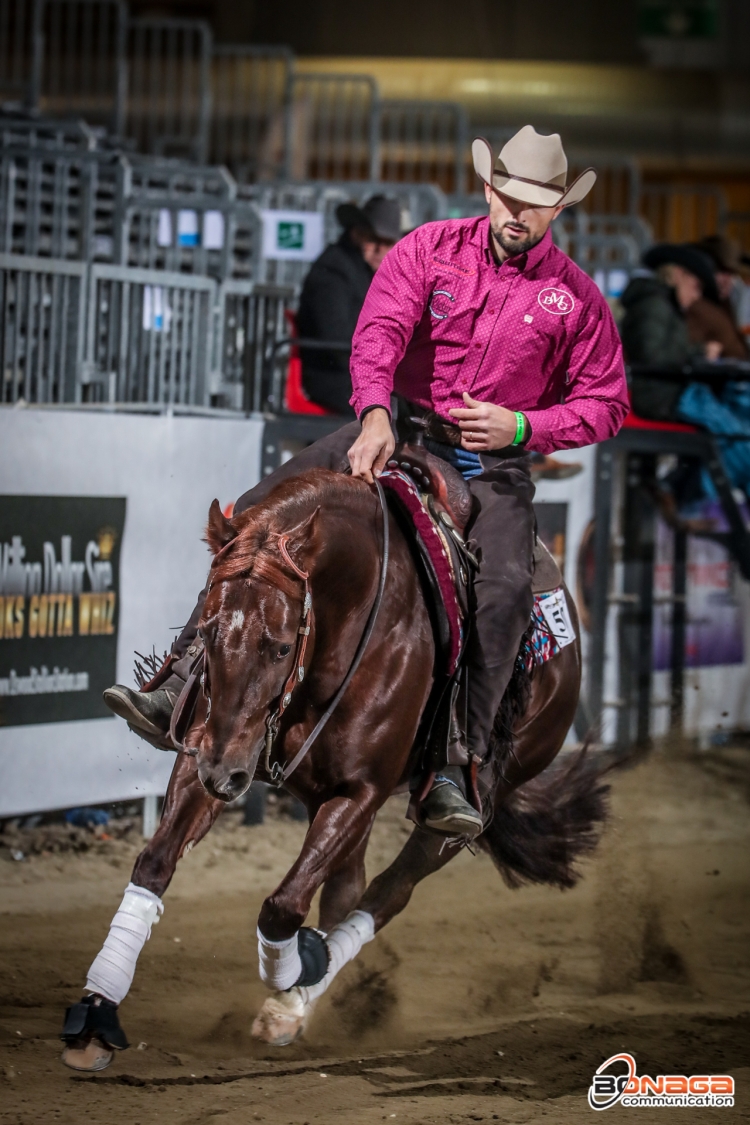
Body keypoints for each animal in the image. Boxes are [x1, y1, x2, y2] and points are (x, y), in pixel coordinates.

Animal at [61, 465, 607, 1062]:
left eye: (280, 647)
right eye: (204, 632)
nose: (225, 774)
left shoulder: (358, 792)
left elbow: (282, 906)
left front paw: (301, 972)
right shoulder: (207, 751)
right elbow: (156, 863)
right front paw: (97, 1009)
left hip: (470, 806)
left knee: (387, 892)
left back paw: (296, 998)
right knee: (346, 889)